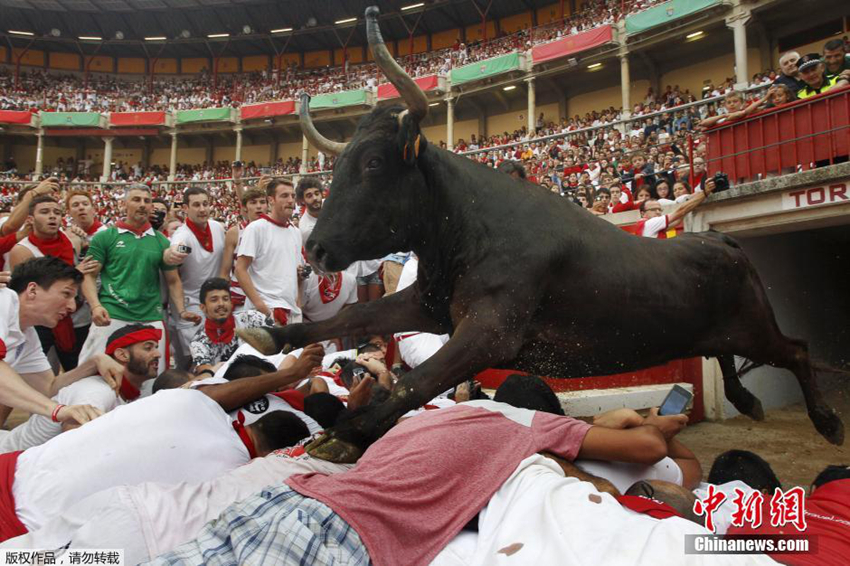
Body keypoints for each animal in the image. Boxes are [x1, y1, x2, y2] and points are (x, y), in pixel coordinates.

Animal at [238, 107, 840, 466]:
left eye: (372, 163)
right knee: (730, 357)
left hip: (755, 326)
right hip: (719, 332)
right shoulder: (429, 303)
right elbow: (354, 318)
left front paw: (346, 434)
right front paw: (276, 336)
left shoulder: (489, 330)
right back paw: (748, 401)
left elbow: (417, 381)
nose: (315, 250)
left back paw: (828, 422)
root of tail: (721, 240)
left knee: (797, 349)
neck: (464, 226)